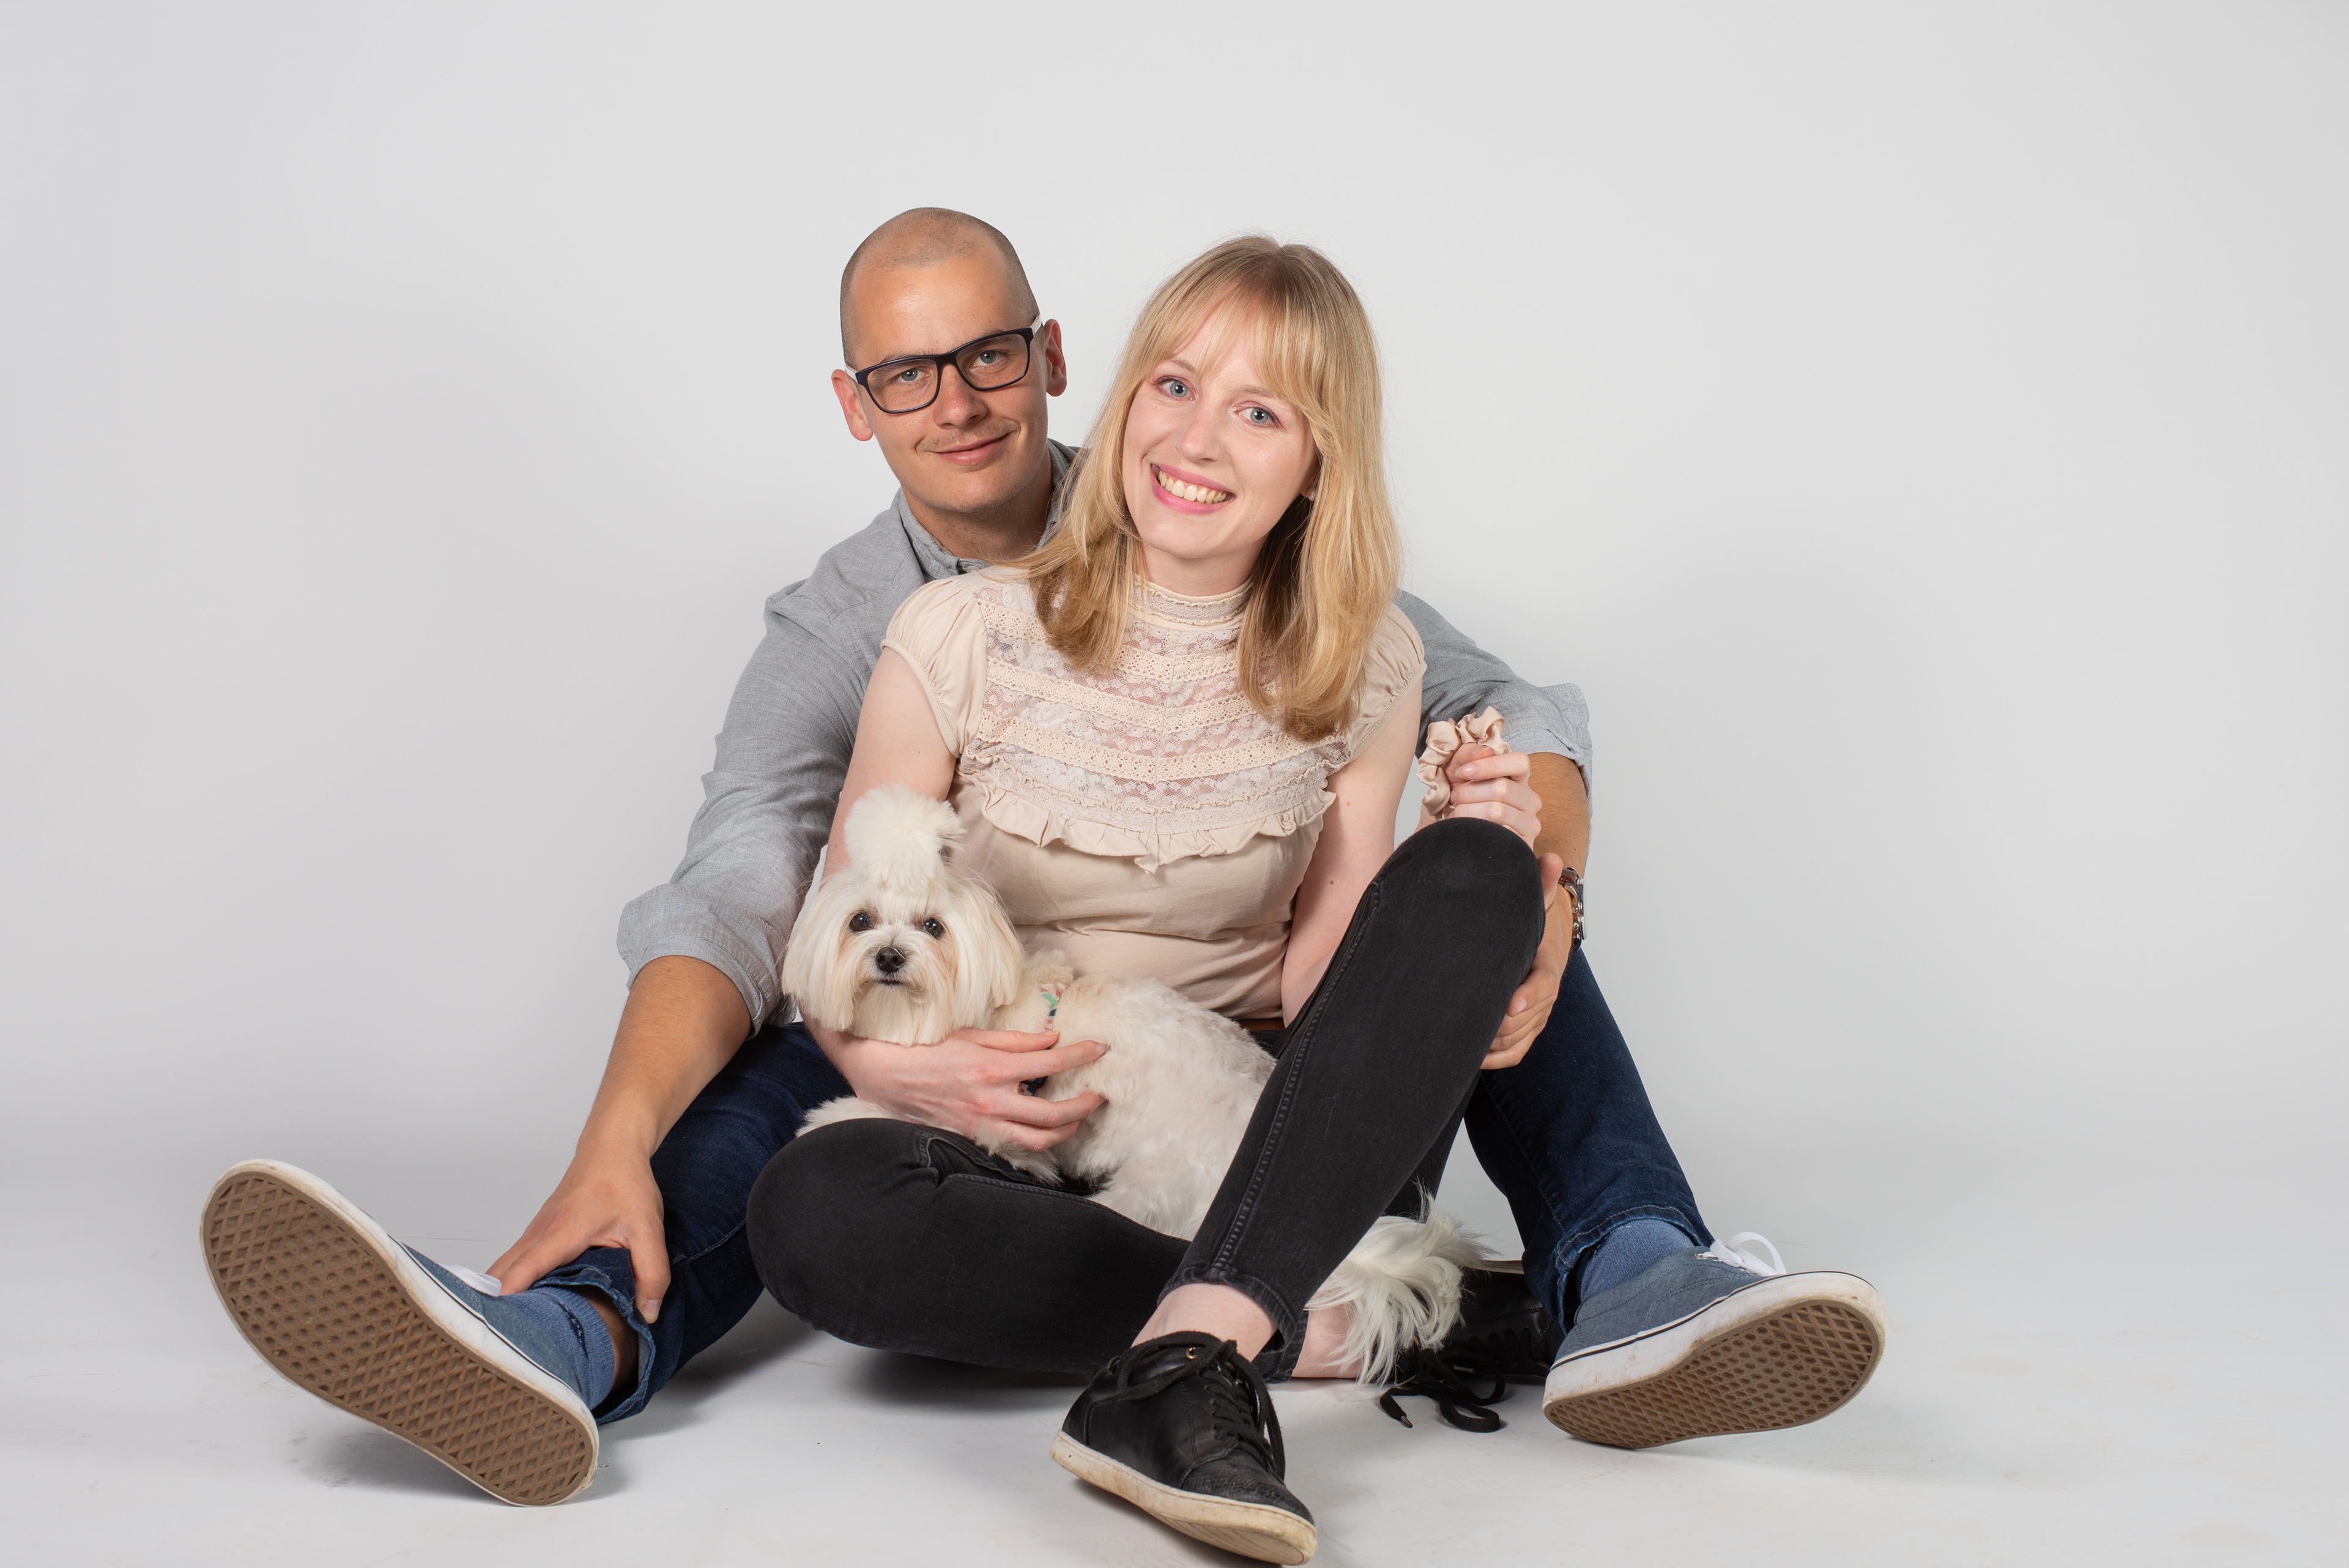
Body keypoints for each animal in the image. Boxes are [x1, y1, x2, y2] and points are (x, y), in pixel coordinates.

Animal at [781, 784, 1482, 1383]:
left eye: (934, 927)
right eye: (861, 921)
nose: (889, 956)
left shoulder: (1002, 1117)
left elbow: (923, 1113)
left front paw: (839, 1112)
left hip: (1152, 1188)